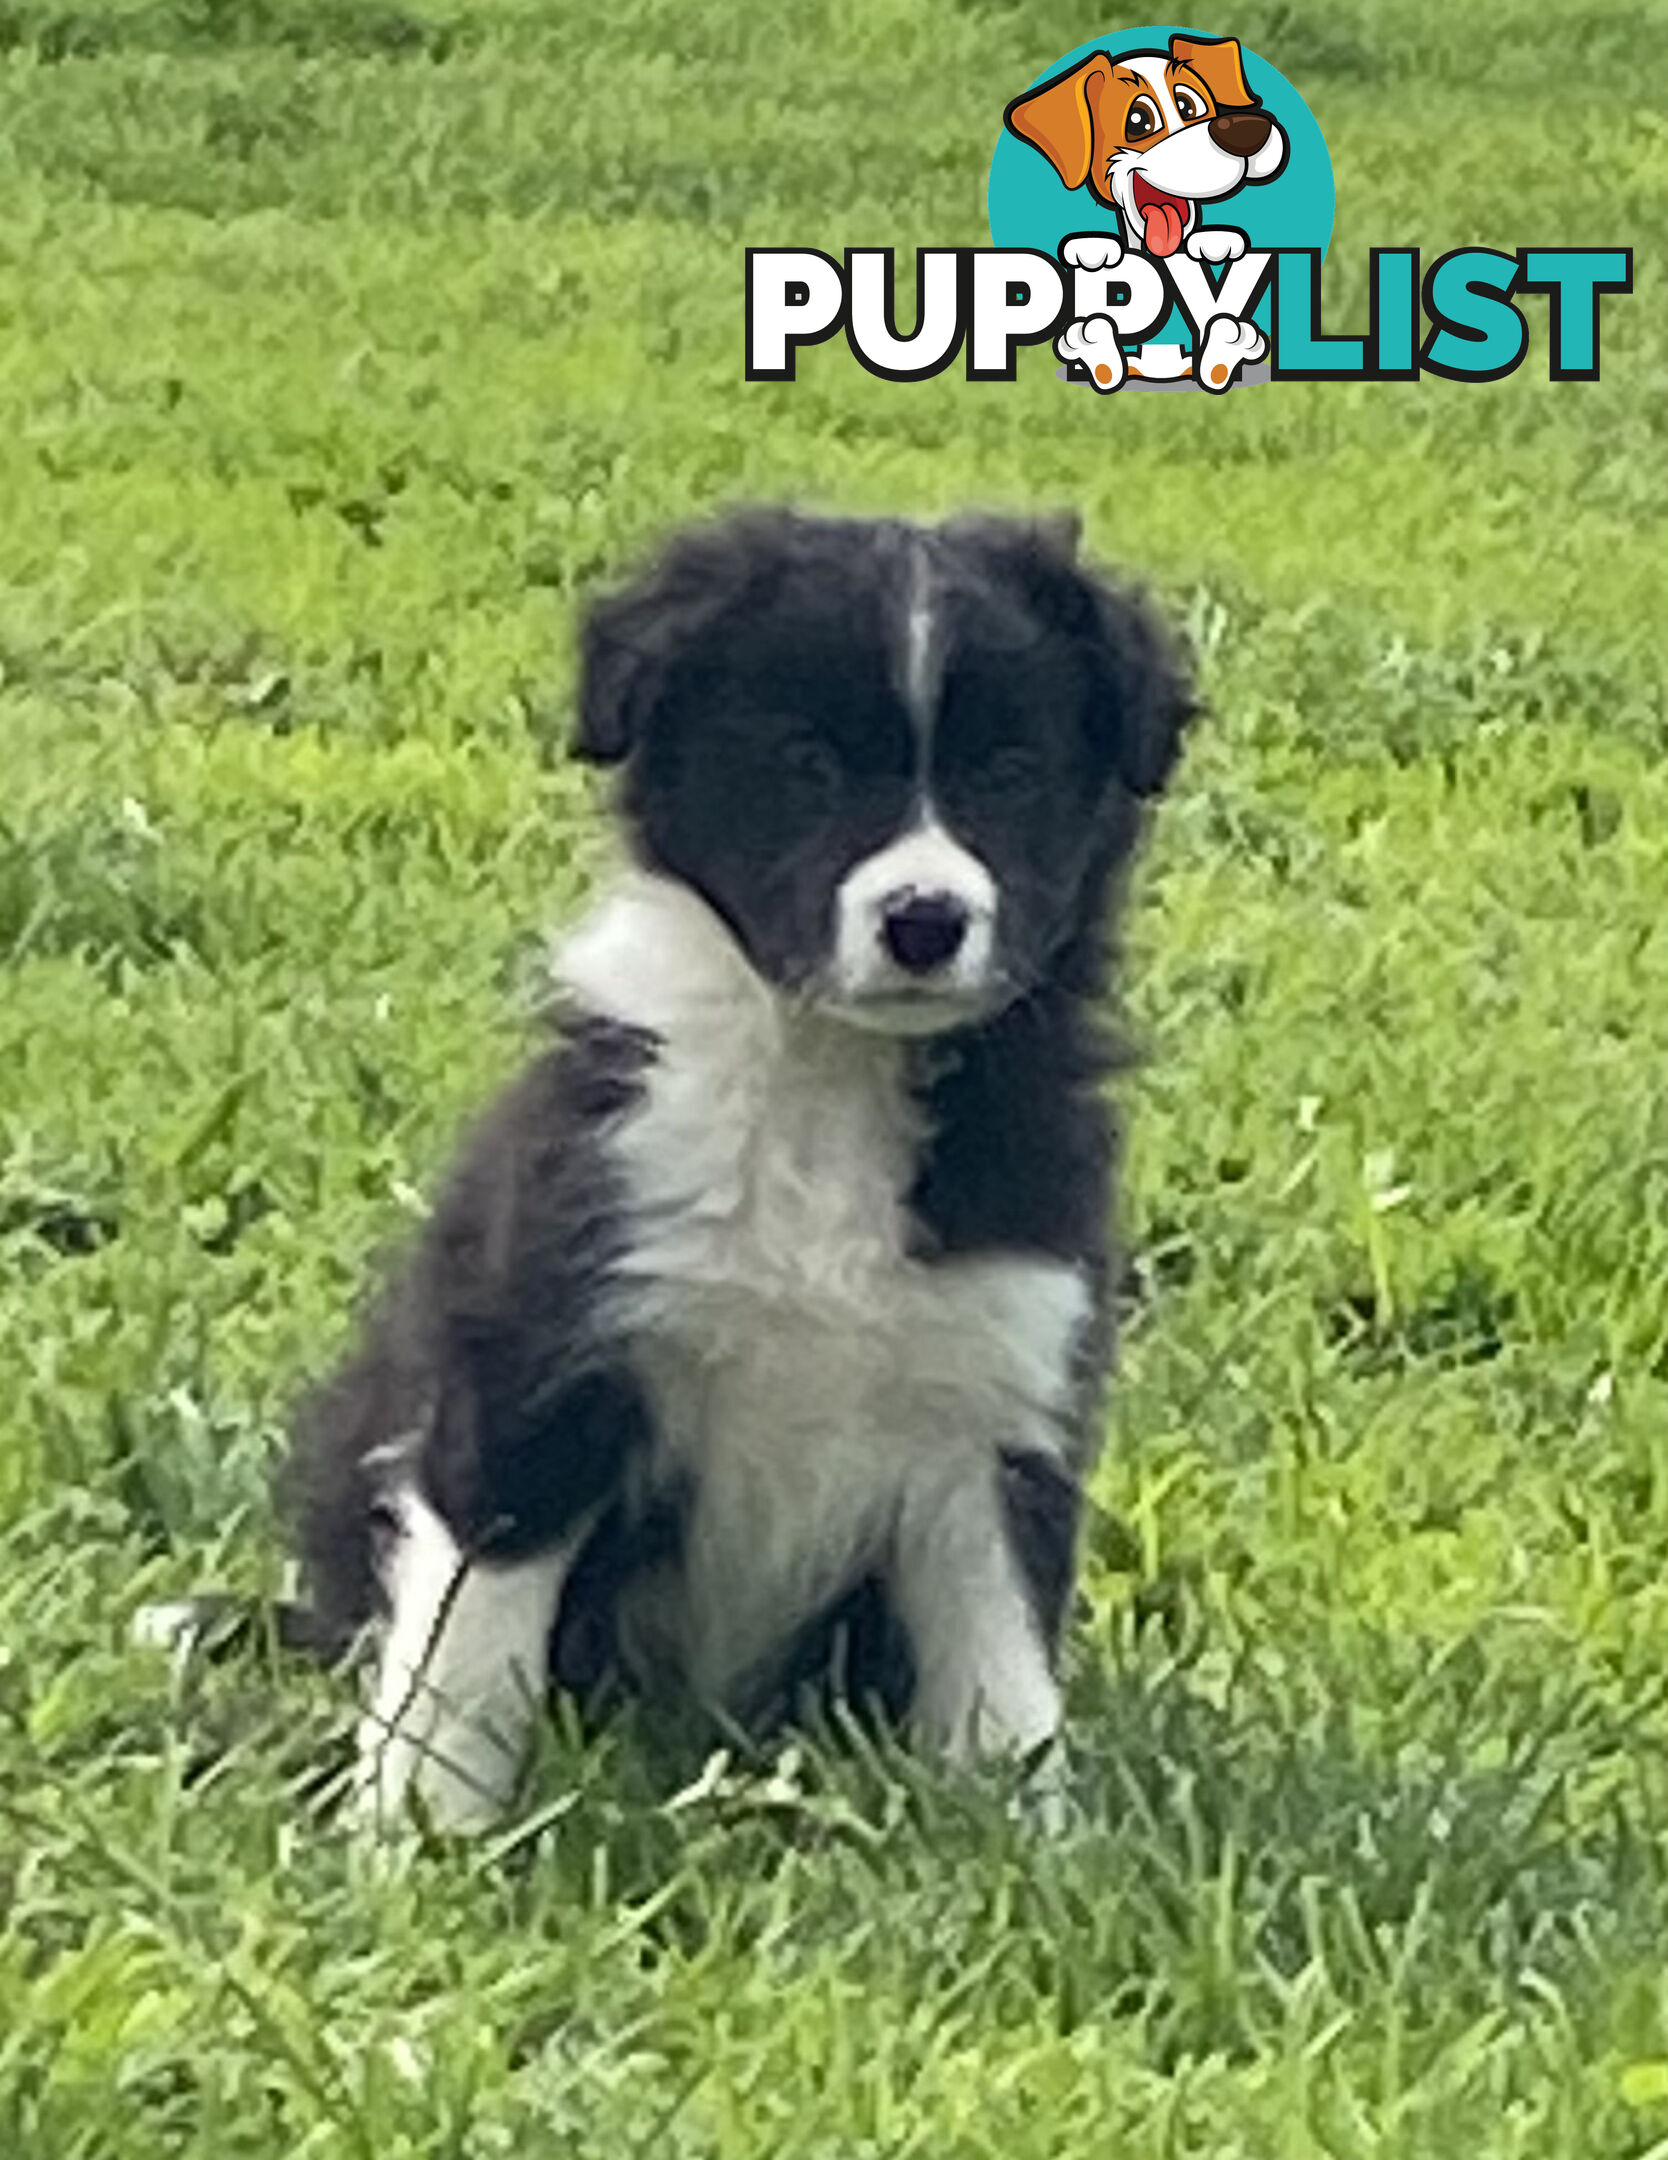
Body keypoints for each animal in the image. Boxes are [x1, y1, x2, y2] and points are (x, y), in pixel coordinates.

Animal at [289, 509, 1201, 1840]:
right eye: (806, 760)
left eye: (1011, 770)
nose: (925, 921)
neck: (829, 1078)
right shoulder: (538, 1373)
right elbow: (467, 1657)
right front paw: (417, 1841)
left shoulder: (994, 1413)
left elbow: (1003, 1687)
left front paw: (1030, 1848)